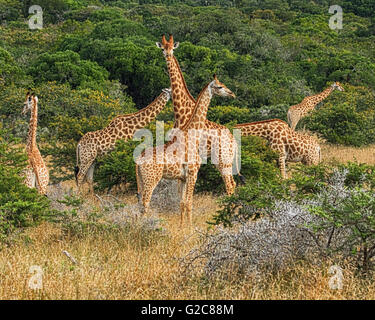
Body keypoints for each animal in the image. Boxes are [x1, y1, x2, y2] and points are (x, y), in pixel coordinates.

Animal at [136, 75, 235, 225]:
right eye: (219, 86)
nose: (232, 93)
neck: (192, 135)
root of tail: (138, 160)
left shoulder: (182, 177)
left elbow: (182, 202)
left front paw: (181, 226)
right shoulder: (192, 173)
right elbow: (189, 202)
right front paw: (190, 227)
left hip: (142, 180)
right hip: (151, 178)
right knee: (145, 202)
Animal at [155, 35, 244, 195]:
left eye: (172, 48)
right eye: (162, 48)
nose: (168, 55)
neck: (181, 112)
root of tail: (234, 142)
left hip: (223, 159)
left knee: (229, 184)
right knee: (232, 183)